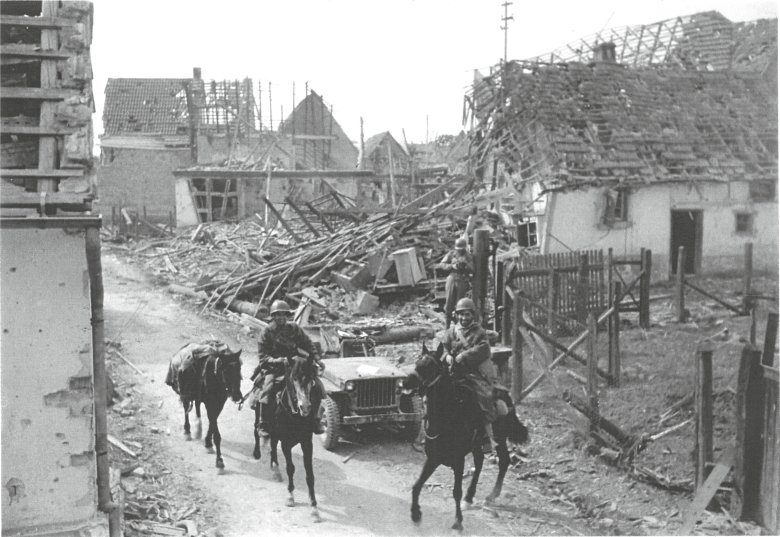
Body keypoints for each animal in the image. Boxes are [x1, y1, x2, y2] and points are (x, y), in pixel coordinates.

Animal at [168, 340, 244, 468]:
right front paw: (219, 460)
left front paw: (208, 443)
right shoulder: (210, 404)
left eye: (239, 368)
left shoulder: (219, 404)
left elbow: (212, 422)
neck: (215, 377)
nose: (236, 396)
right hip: (185, 393)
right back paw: (187, 431)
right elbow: (215, 430)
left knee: (197, 404)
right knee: (186, 409)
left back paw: (198, 429)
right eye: (225, 371)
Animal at [253, 354, 320, 520]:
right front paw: (290, 497)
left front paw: (314, 507)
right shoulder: (285, 443)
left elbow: (310, 475)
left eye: (310, 378)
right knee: (259, 433)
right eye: (294, 378)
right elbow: (290, 468)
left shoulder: (307, 443)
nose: (305, 407)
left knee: (272, 446)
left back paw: (275, 470)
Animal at [402, 344, 532, 528]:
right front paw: (415, 513)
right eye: (417, 362)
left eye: (430, 366)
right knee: (479, 461)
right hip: (477, 444)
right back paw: (470, 497)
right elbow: (417, 485)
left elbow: (456, 491)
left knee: (504, 461)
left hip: (499, 437)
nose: (405, 382)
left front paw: (458, 520)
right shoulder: (433, 458)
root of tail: (506, 395)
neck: (447, 416)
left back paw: (491, 495)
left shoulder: (459, 461)